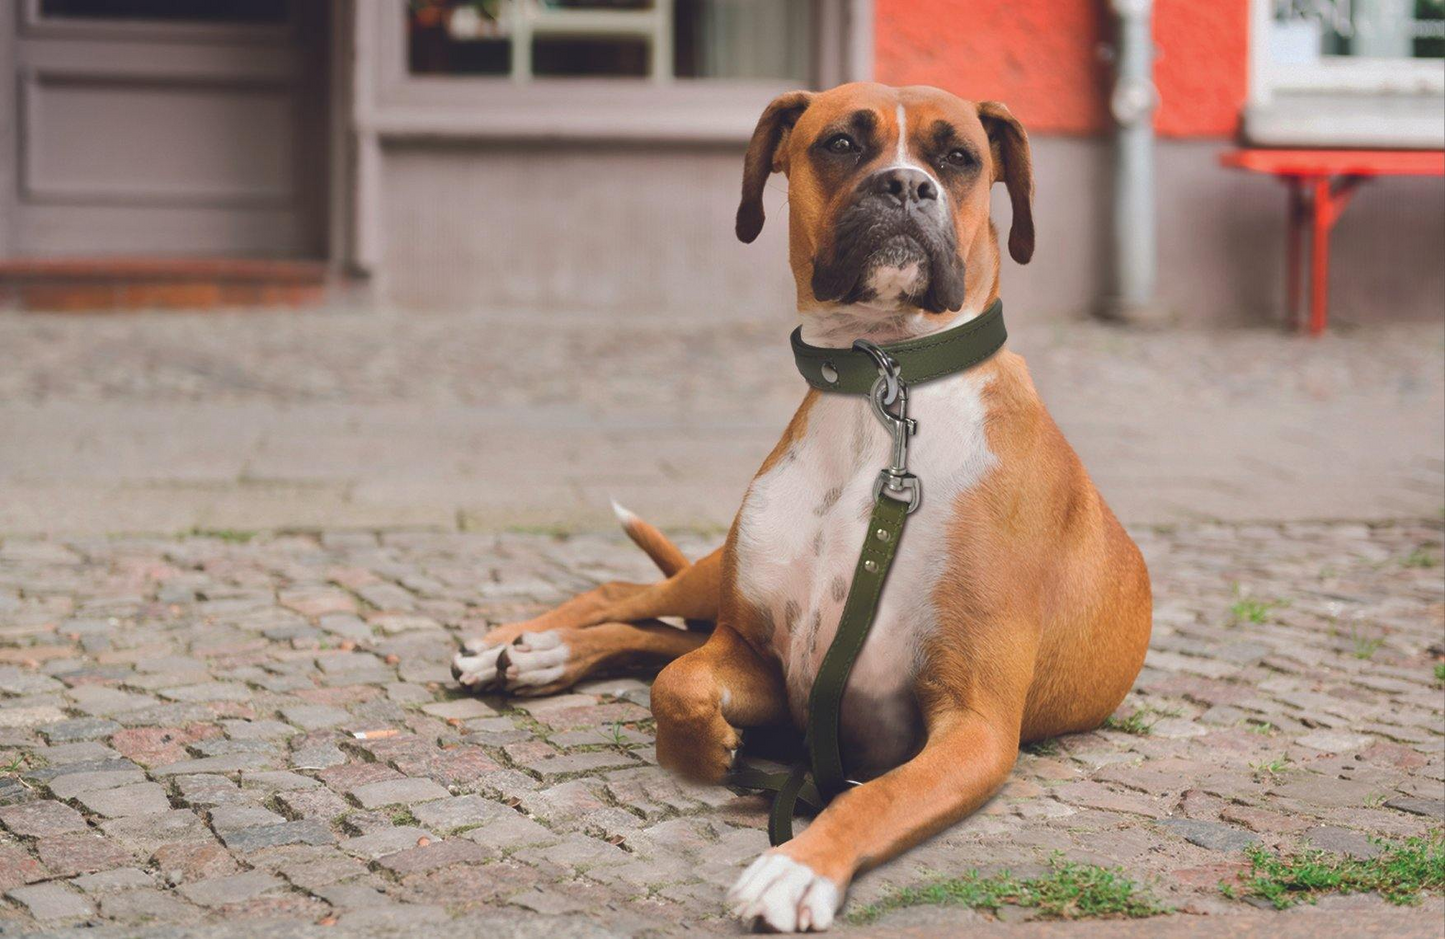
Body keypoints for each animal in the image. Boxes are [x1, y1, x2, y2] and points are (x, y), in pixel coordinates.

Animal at [450, 82, 1150, 930]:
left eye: (957, 157)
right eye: (841, 144)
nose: (906, 185)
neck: (882, 393)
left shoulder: (971, 724)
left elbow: (874, 794)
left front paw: (795, 866)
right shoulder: (760, 658)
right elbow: (677, 684)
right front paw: (709, 753)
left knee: (654, 631)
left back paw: (539, 655)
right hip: (712, 577)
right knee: (631, 598)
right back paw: (518, 645)